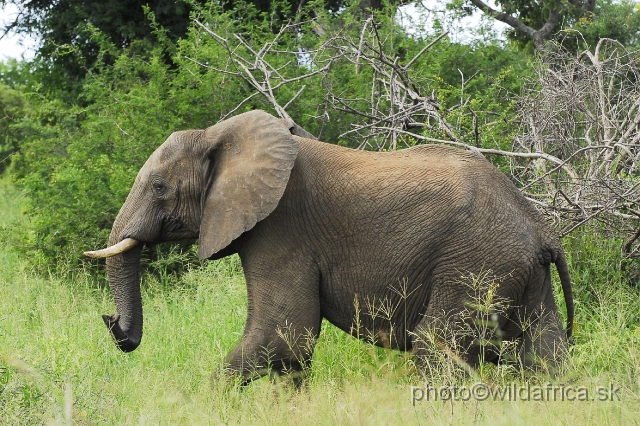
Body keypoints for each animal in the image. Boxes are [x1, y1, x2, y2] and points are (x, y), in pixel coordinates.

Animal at [86, 109, 576, 382]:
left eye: (159, 187)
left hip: (476, 261)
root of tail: (542, 230)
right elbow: (288, 348)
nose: (112, 324)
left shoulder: (281, 229)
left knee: (436, 347)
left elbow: (283, 334)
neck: (222, 135)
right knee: (543, 353)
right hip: (517, 269)